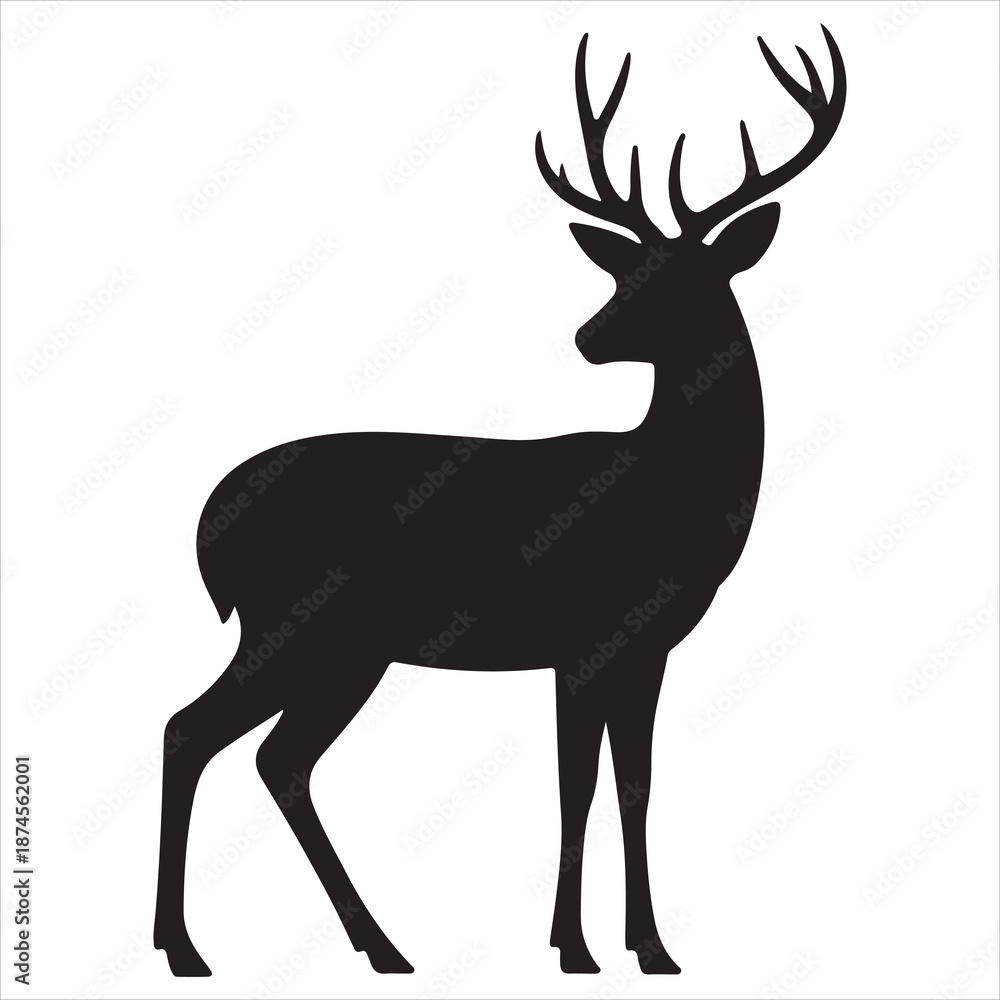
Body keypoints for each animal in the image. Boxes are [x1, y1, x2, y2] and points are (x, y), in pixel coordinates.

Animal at [154, 27, 845, 978]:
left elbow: (634, 785)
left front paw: (650, 948)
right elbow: (576, 786)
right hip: (301, 624)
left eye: (685, 279)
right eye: (628, 272)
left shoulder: (646, 648)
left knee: (273, 757)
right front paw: (576, 949)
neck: (674, 493)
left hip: (341, 645)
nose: (589, 337)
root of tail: (206, 529)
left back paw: (373, 946)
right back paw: (193, 949)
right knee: (197, 731)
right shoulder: (585, 637)